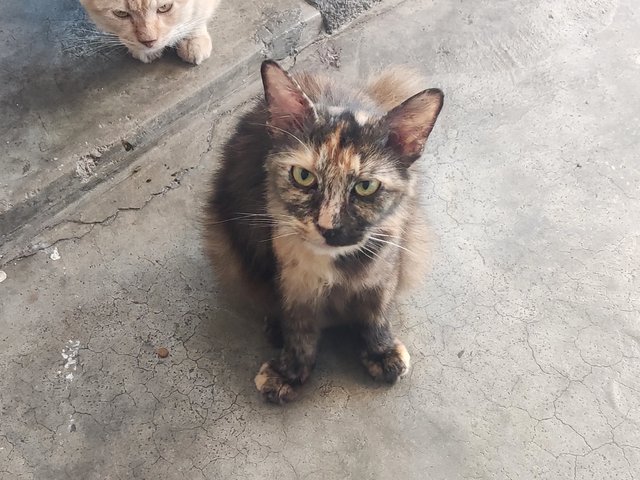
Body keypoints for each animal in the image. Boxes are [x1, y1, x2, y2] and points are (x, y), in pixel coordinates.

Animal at [206, 60, 444, 404]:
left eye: (365, 186)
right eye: (303, 176)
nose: (327, 227)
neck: (337, 267)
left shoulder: (385, 267)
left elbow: (376, 313)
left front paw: (381, 352)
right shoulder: (294, 284)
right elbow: (299, 329)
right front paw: (289, 372)